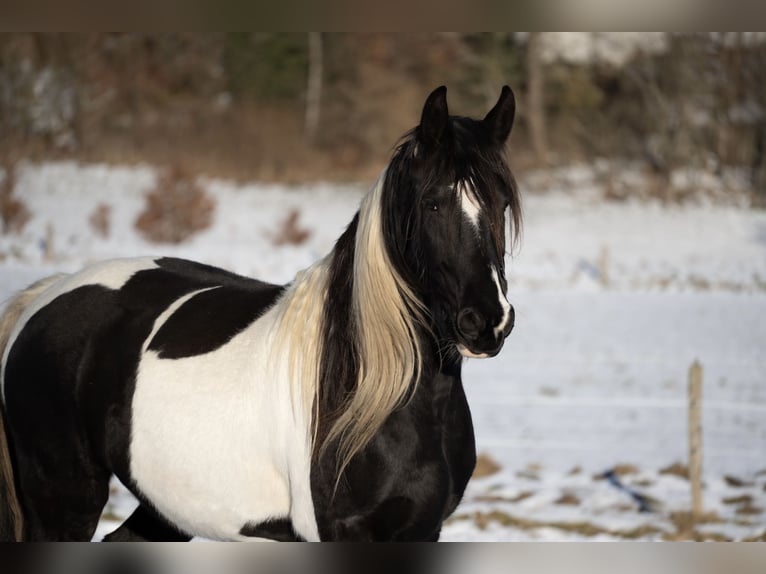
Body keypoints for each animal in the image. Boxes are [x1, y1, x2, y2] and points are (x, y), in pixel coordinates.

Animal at [0, 85, 521, 541]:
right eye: (432, 203)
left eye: (501, 204)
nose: (486, 322)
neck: (370, 392)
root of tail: (44, 298)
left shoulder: (423, 530)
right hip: (63, 500)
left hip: (164, 510)